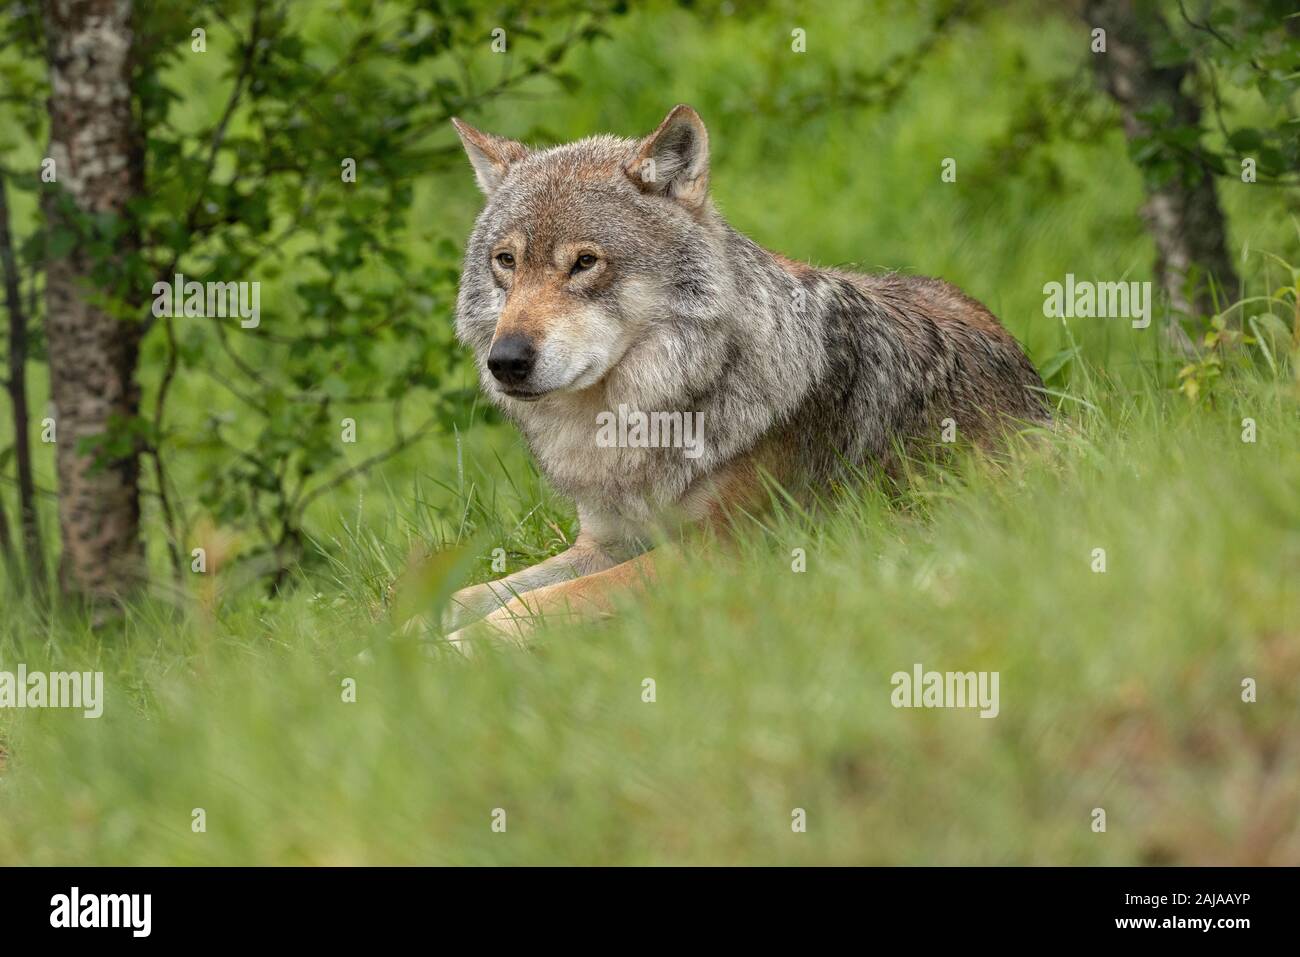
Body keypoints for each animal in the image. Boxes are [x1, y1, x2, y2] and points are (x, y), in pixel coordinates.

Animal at [440, 105, 1049, 646]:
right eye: (506, 261)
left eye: (585, 263)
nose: (506, 361)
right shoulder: (603, 544)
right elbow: (472, 594)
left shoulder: (718, 552)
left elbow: (536, 603)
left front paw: (457, 648)